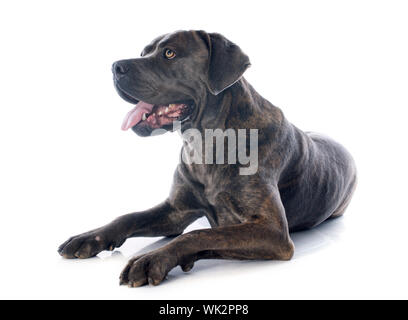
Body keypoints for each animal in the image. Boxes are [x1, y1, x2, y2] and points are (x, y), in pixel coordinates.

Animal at [57, 30, 356, 288]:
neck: (204, 142)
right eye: (144, 52)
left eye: (169, 53)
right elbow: (127, 217)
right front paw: (89, 237)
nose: (115, 66)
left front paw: (152, 259)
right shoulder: (176, 211)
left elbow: (201, 233)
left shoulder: (273, 232)